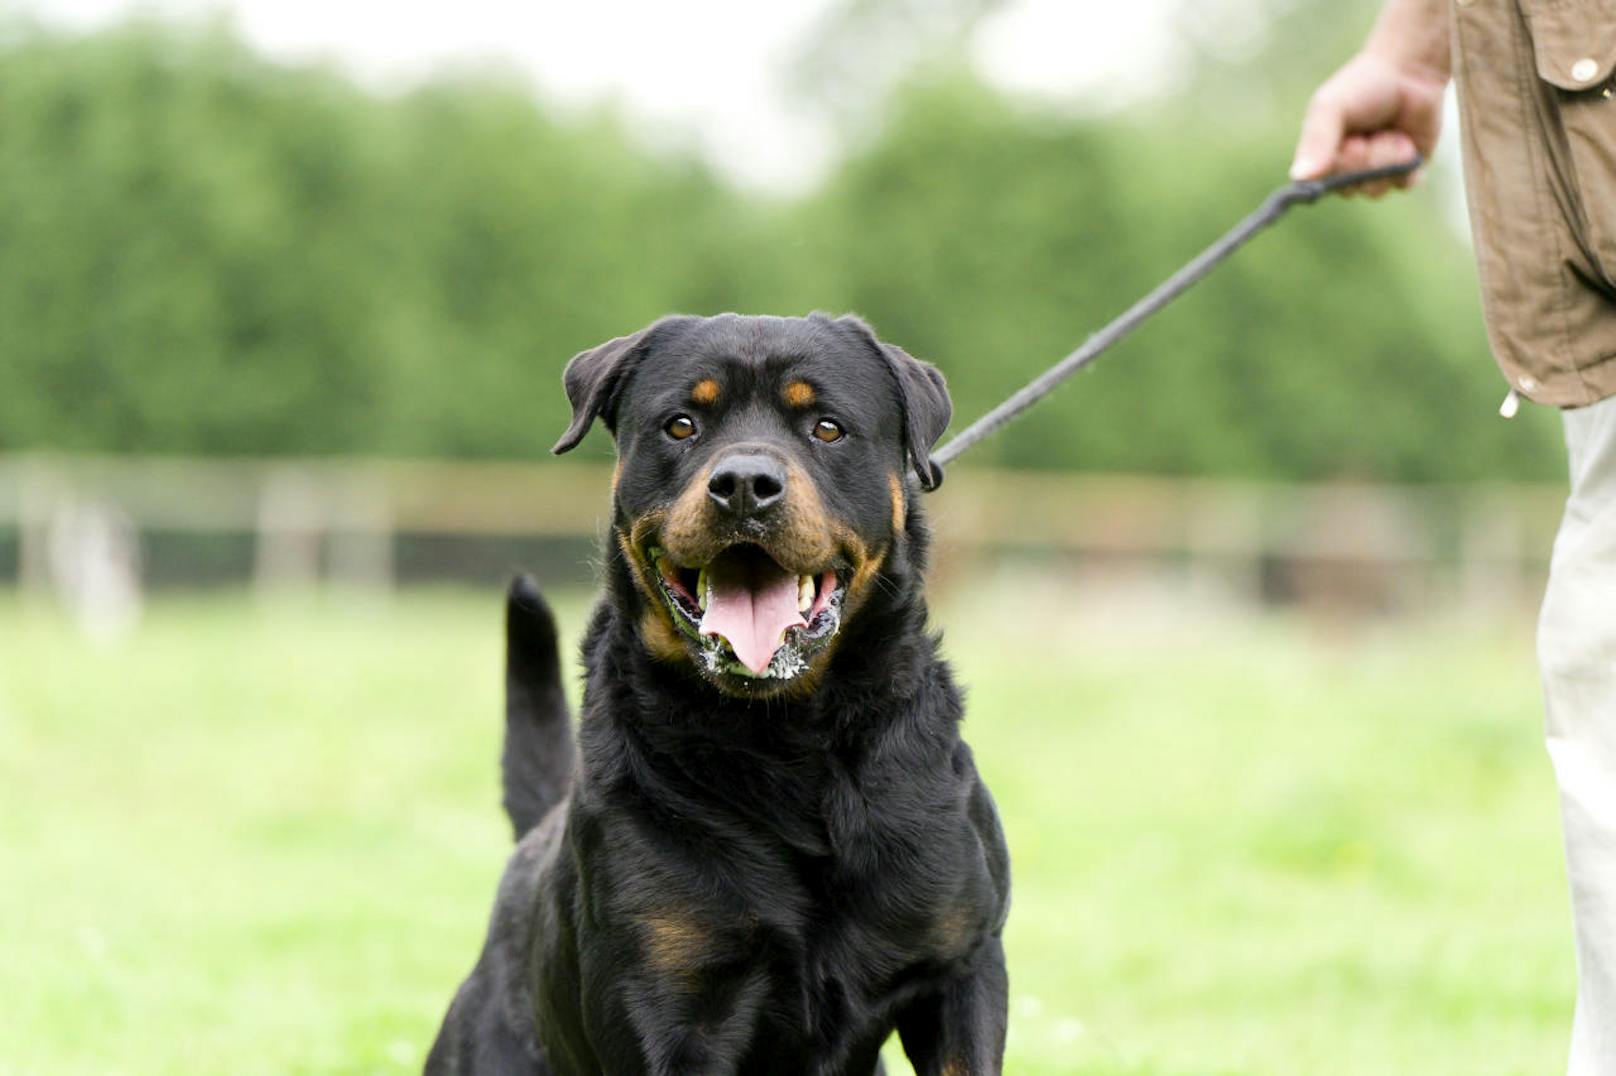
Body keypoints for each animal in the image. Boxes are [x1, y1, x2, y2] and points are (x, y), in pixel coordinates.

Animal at [429, 311, 1008, 1072]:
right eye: (681, 425)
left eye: (827, 427)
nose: (743, 484)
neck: (788, 739)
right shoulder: (665, 997)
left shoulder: (960, 967)